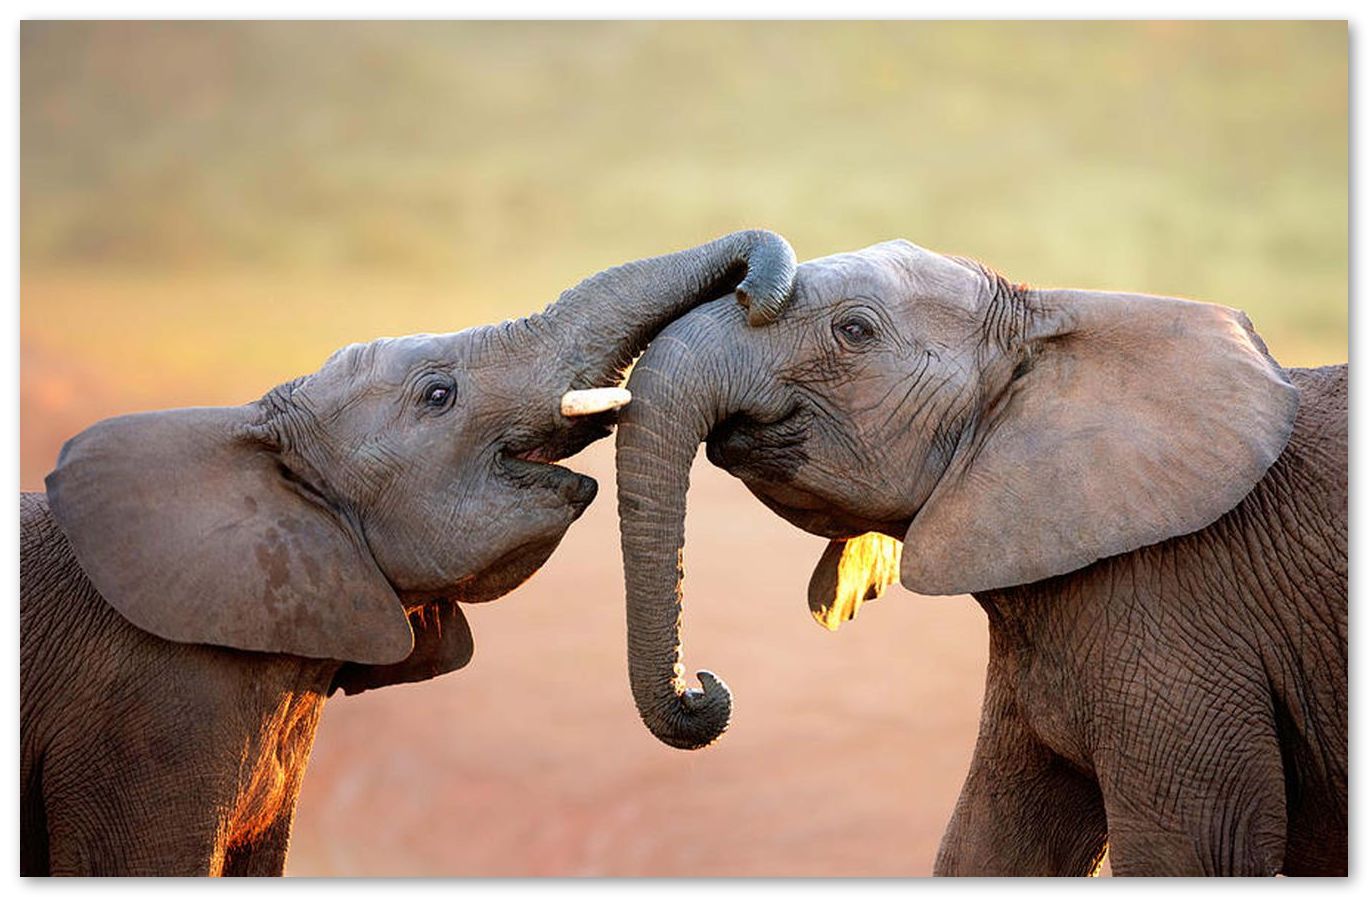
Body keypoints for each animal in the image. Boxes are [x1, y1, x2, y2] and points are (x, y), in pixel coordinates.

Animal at [611, 239, 1346, 876]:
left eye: (854, 330)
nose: (702, 686)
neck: (1049, 322)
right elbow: (992, 844)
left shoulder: (1178, 613)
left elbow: (1192, 852)